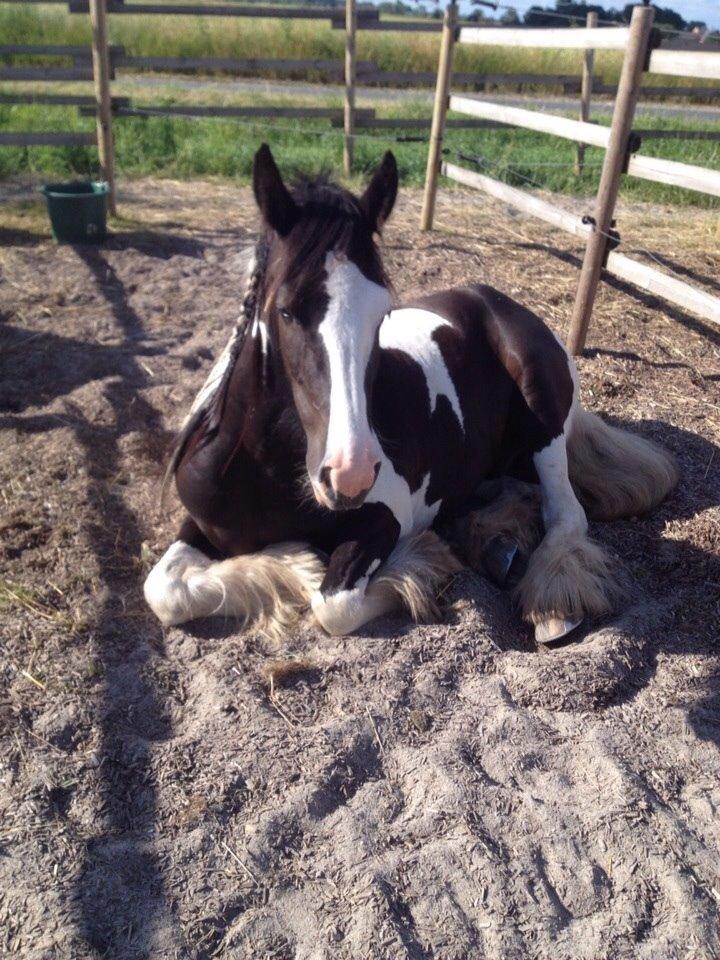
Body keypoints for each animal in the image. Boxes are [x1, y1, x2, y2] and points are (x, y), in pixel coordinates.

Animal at [143, 146, 676, 644]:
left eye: (382, 311)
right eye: (287, 310)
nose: (350, 475)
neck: (264, 465)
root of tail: (498, 301)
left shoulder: (386, 516)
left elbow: (333, 605)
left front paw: (409, 564)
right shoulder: (203, 524)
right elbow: (163, 590)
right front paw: (292, 561)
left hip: (543, 412)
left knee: (565, 514)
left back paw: (552, 606)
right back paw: (492, 545)